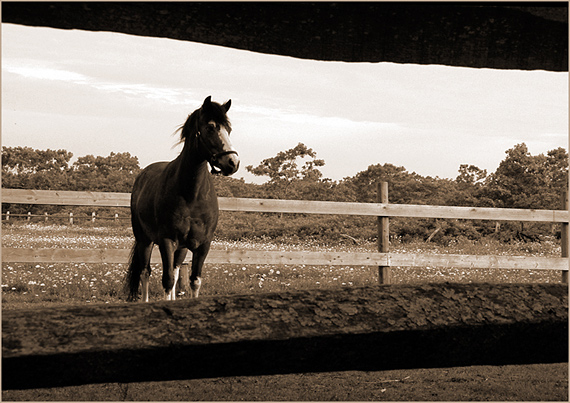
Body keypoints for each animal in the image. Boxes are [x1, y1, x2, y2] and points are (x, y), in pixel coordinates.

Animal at [124, 96, 240, 302]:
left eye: (229, 129)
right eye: (210, 127)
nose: (233, 162)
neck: (192, 195)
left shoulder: (202, 245)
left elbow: (194, 281)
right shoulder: (167, 241)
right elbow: (167, 280)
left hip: (181, 248)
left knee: (176, 270)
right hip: (144, 240)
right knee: (146, 272)